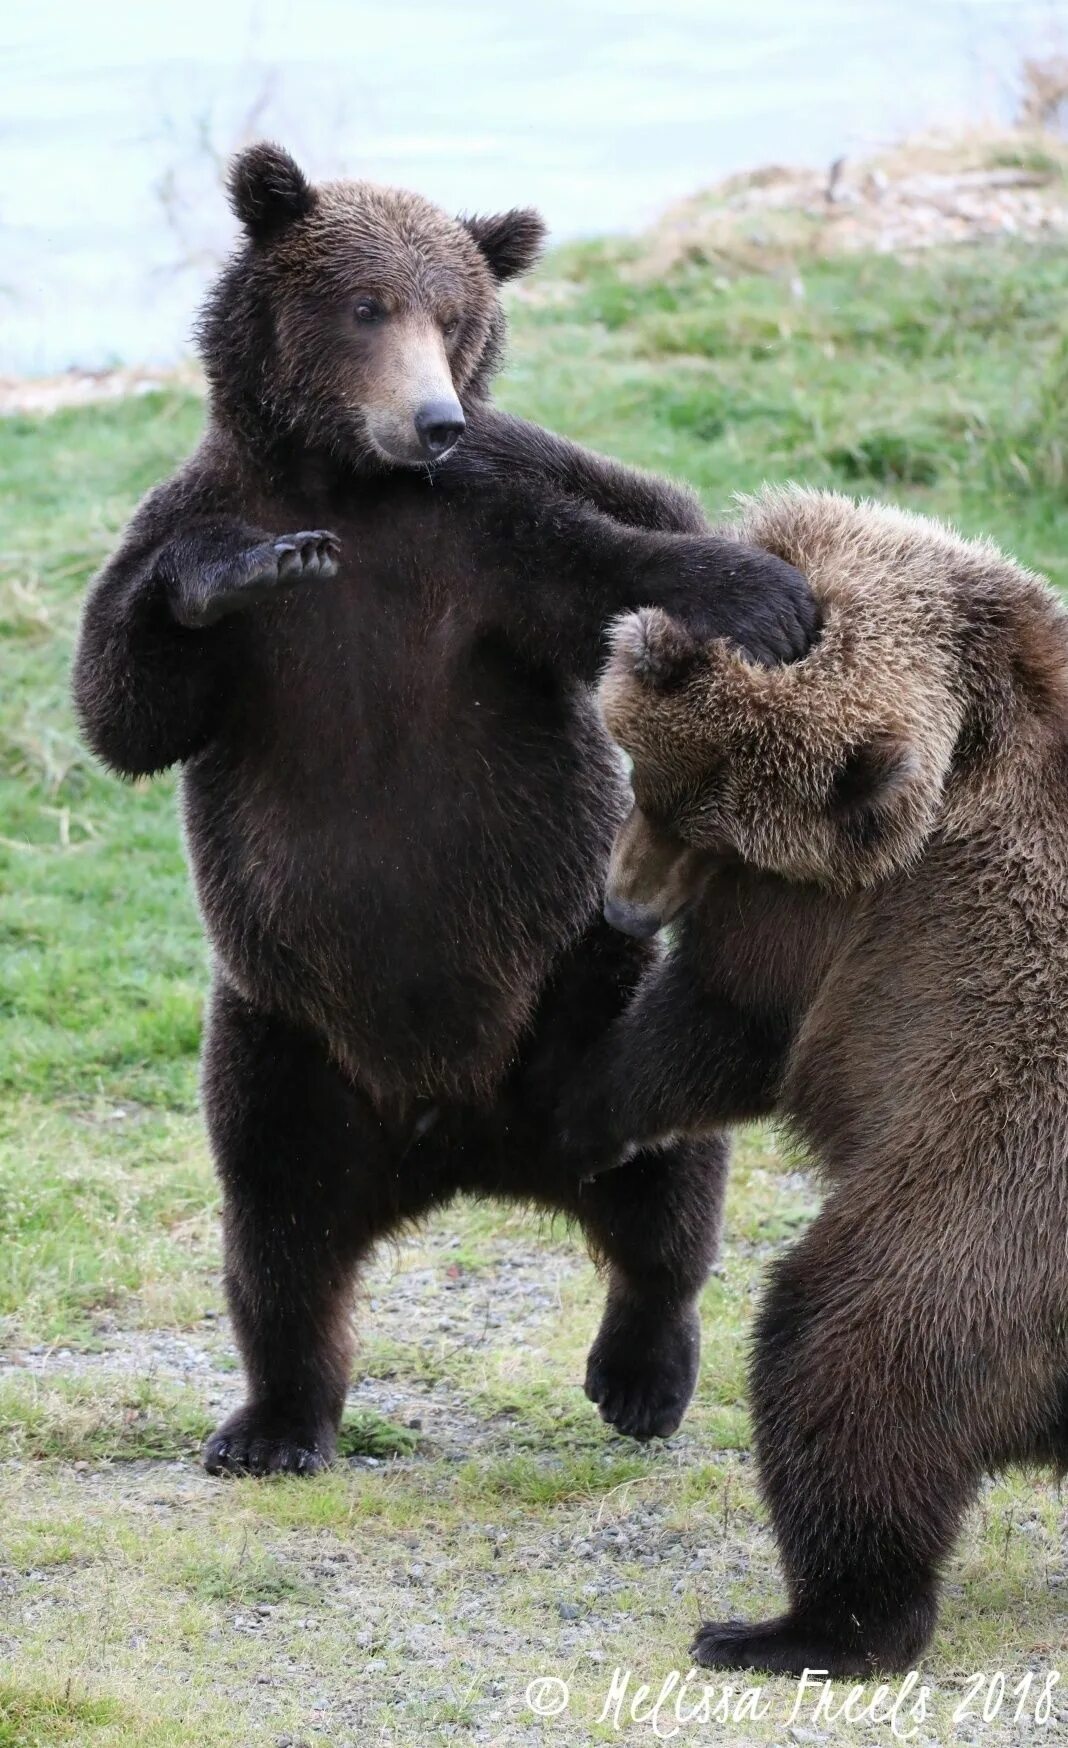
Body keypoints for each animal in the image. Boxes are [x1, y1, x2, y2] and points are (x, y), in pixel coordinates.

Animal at [71, 150, 814, 1475]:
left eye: (451, 312)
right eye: (366, 305)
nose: (435, 419)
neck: (352, 489)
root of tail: (465, 1141)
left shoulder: (481, 550)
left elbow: (615, 557)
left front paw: (761, 594)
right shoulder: (191, 523)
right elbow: (125, 700)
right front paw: (250, 567)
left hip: (580, 974)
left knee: (666, 1179)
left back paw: (642, 1369)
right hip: (288, 1036)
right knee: (277, 1230)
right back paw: (271, 1422)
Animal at [573, 489, 1068, 1678]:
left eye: (704, 824)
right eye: (641, 774)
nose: (625, 909)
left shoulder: (857, 914)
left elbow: (724, 1025)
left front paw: (583, 1102)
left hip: (981, 1229)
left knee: (843, 1355)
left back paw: (790, 1623)